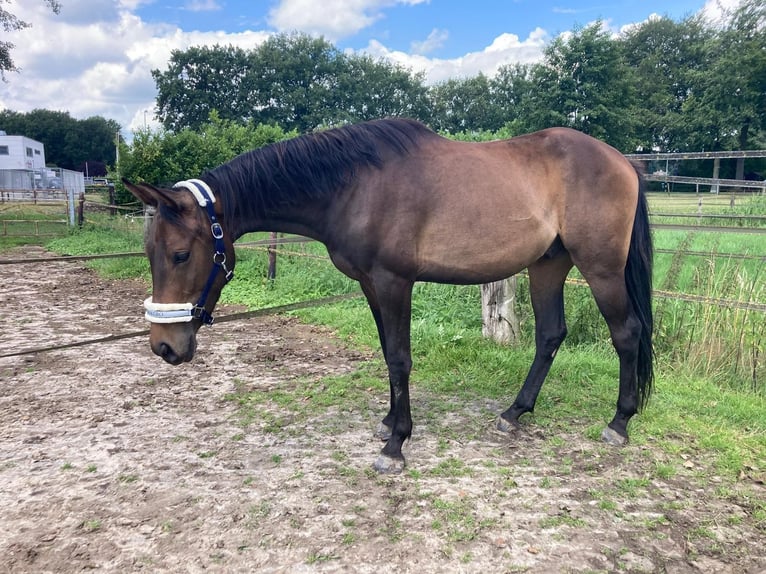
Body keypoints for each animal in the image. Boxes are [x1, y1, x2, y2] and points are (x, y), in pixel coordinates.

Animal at [124, 118, 656, 476]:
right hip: (548, 265)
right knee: (550, 335)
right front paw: (387, 423)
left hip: (601, 268)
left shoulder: (394, 282)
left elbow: (400, 359)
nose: (164, 347)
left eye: (179, 254)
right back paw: (514, 414)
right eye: (150, 252)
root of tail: (625, 162)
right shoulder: (370, 284)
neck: (354, 186)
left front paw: (395, 446)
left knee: (627, 333)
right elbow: (386, 354)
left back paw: (619, 423)